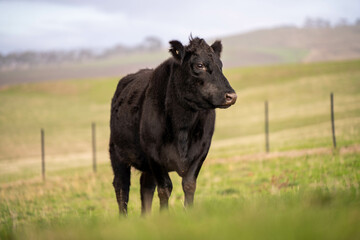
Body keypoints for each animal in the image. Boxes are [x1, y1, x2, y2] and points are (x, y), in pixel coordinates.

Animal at [111, 37, 238, 216]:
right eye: (199, 65)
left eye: (220, 65)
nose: (231, 96)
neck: (182, 127)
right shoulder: (154, 154)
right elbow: (165, 188)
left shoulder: (201, 151)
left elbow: (189, 185)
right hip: (117, 152)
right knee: (121, 186)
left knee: (146, 186)